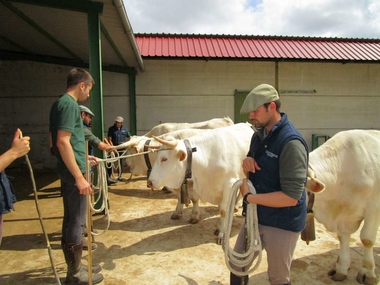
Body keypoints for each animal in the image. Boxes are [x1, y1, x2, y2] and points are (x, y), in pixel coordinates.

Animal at [304, 129, 380, 284]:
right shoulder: (342, 217)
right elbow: (343, 238)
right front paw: (341, 268)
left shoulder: (373, 209)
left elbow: (367, 239)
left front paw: (368, 273)